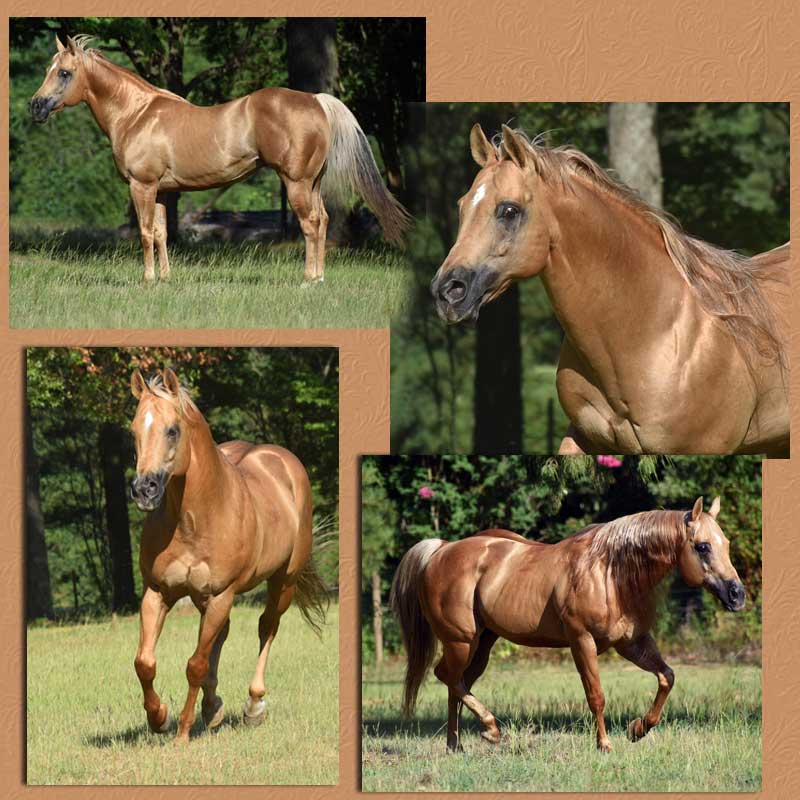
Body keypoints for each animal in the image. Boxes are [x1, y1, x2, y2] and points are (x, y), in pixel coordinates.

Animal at [30, 35, 410, 284]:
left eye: (64, 72)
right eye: (50, 69)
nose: (36, 106)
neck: (137, 113)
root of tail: (316, 100)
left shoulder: (142, 186)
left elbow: (144, 233)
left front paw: (148, 280)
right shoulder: (162, 191)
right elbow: (161, 233)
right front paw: (165, 280)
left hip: (296, 183)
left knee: (311, 224)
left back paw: (308, 280)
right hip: (312, 183)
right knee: (325, 220)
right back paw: (318, 278)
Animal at [128, 368, 327, 742]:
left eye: (172, 430)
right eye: (134, 430)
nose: (144, 489)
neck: (193, 519)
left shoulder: (222, 594)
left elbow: (195, 664)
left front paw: (182, 731)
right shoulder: (158, 592)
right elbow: (144, 662)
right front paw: (159, 718)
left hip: (283, 582)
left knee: (267, 628)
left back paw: (253, 707)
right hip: (207, 598)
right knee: (222, 635)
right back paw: (212, 706)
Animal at [391, 496, 746, 752]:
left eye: (726, 544)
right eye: (702, 546)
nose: (737, 594)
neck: (610, 574)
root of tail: (442, 550)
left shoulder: (632, 643)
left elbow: (666, 677)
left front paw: (638, 729)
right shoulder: (581, 641)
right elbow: (596, 695)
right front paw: (605, 745)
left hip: (482, 644)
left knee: (457, 683)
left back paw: (458, 744)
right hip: (461, 642)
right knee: (448, 677)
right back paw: (490, 729)